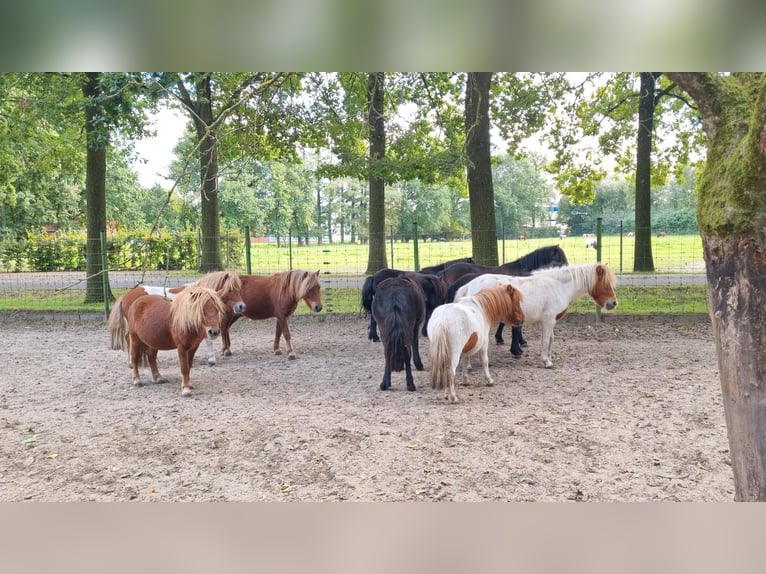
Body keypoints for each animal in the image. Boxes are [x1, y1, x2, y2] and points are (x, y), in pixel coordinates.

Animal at [108, 272, 244, 366]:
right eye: (230, 289)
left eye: (239, 289)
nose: (241, 306)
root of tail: (125, 296)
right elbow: (208, 339)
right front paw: (211, 360)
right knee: (130, 339)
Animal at [456, 264, 616, 368]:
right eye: (606, 284)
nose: (614, 303)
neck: (558, 286)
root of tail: (469, 285)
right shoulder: (548, 321)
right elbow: (545, 341)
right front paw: (547, 362)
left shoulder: (551, 321)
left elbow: (550, 340)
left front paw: (550, 358)